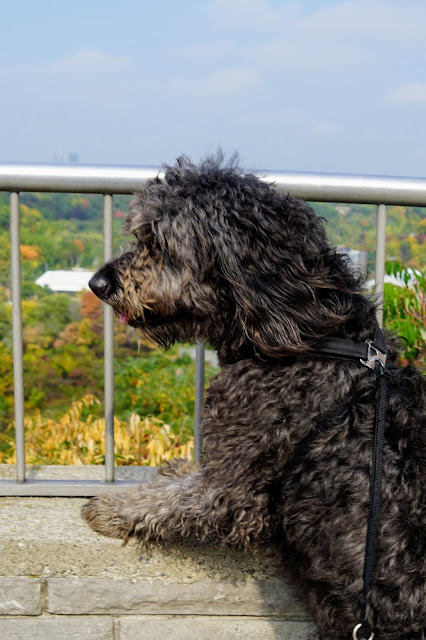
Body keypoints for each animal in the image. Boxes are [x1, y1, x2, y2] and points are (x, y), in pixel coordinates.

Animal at [81, 156, 424, 640]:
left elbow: (172, 503)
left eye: (158, 243)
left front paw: (114, 507)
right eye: (139, 235)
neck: (309, 338)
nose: (96, 283)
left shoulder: (232, 490)